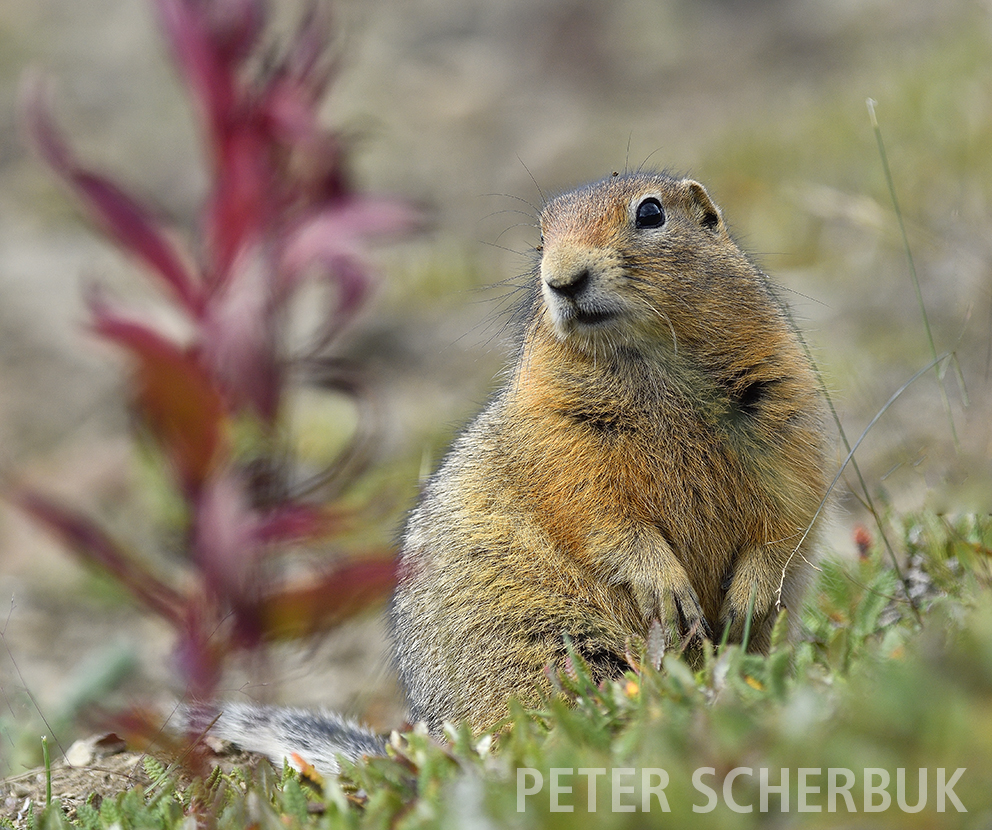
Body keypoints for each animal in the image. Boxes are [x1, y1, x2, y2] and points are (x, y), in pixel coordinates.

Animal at [188, 172, 828, 776]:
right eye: (540, 239)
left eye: (651, 213)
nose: (562, 279)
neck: (651, 365)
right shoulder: (562, 442)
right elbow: (602, 520)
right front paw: (667, 587)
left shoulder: (789, 407)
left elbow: (790, 513)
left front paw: (749, 596)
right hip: (553, 646)